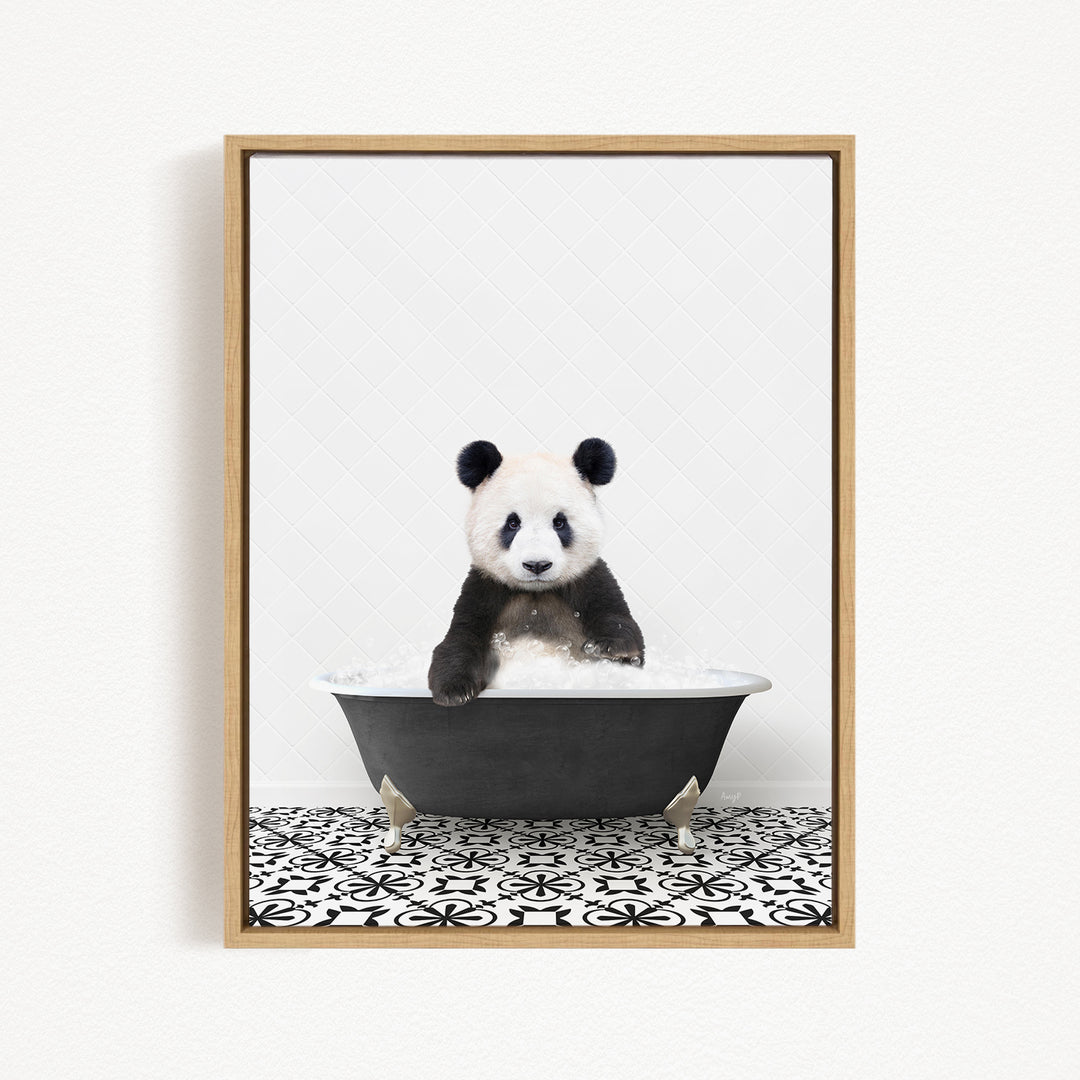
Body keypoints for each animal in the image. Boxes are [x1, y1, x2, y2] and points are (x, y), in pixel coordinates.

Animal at [428, 437, 645, 706]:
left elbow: (622, 625)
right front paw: (454, 691)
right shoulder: (485, 586)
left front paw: (608, 647)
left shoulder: (589, 578)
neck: (536, 592)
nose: (537, 565)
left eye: (559, 522)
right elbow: (461, 636)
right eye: (513, 523)